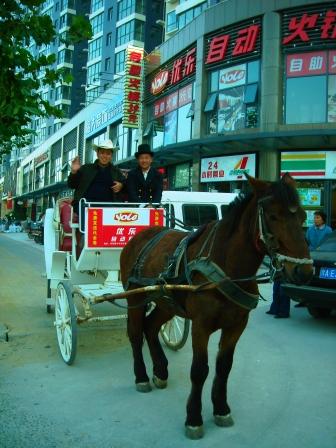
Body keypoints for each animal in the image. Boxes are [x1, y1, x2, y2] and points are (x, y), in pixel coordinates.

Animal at [120, 175, 312, 438]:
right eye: (273, 217)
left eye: (302, 217)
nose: (304, 271)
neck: (227, 265)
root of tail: (143, 234)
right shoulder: (201, 325)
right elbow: (200, 370)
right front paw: (193, 418)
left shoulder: (237, 325)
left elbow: (224, 366)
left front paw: (221, 408)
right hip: (134, 297)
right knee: (136, 333)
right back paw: (141, 376)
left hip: (166, 301)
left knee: (151, 327)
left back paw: (160, 371)